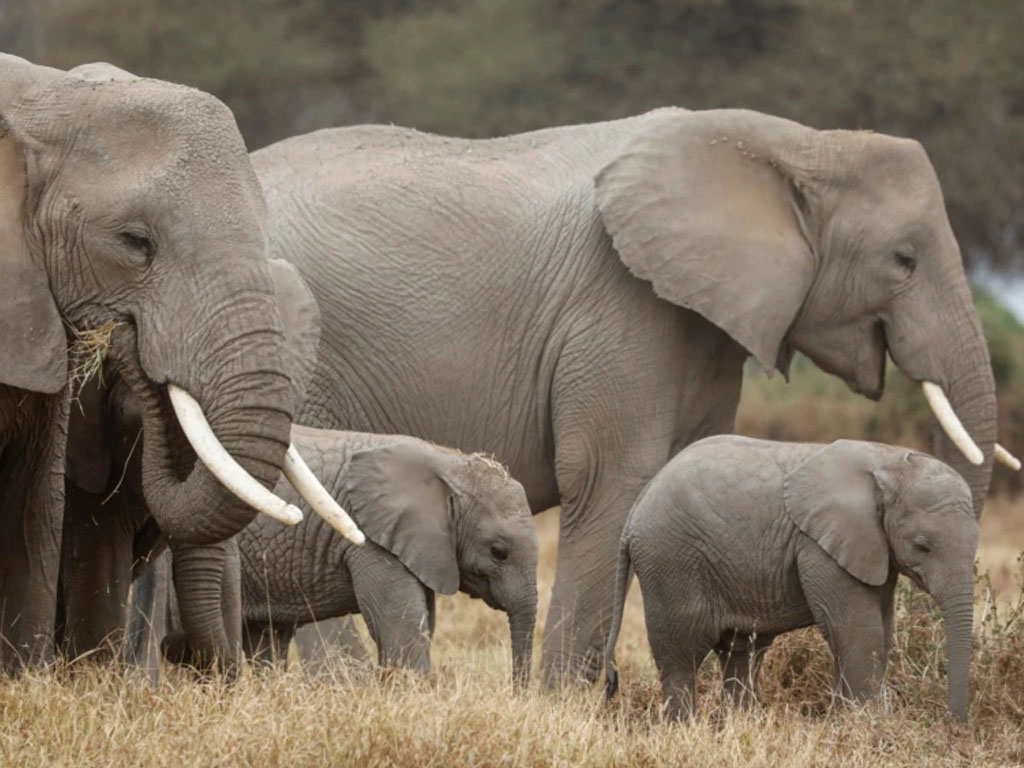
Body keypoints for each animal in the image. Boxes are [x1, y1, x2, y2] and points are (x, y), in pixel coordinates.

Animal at [602, 438, 978, 720]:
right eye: (922, 545)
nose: (953, 724)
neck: (886, 459)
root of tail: (634, 513)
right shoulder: (819, 548)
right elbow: (858, 629)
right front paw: (866, 725)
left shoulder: (871, 548)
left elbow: (881, 632)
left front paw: (845, 720)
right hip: (670, 560)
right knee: (681, 653)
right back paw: (684, 727)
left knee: (742, 652)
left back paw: (741, 723)